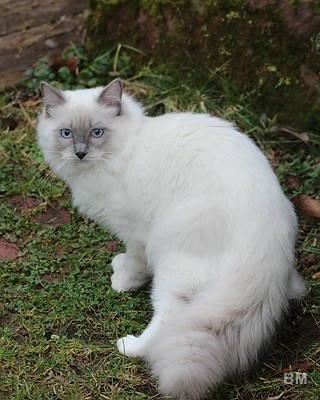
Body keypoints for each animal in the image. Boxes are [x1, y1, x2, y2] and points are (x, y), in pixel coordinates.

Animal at [37, 79, 304, 400]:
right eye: (66, 133)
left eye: (96, 132)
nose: (79, 153)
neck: (126, 151)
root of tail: (265, 251)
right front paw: (118, 264)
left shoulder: (135, 233)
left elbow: (134, 265)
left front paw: (122, 281)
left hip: (171, 262)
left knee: (169, 319)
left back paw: (129, 346)